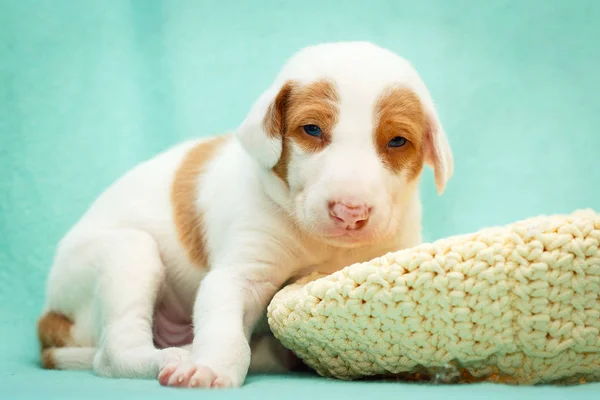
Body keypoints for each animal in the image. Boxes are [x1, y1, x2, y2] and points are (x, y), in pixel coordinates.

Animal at [37, 42, 452, 390]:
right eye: (312, 129)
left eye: (397, 141)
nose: (350, 211)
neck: (321, 244)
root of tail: (49, 318)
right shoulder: (240, 272)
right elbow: (225, 330)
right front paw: (212, 368)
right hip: (127, 253)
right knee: (113, 354)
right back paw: (169, 358)